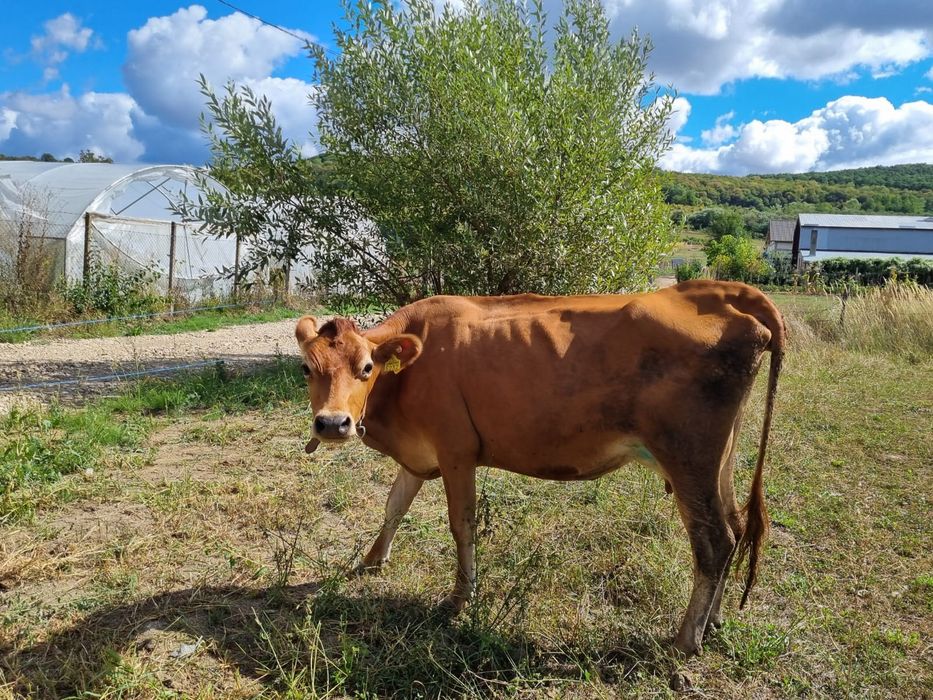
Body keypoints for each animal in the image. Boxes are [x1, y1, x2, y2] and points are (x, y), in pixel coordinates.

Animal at [295, 279, 785, 656]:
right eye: (306, 368)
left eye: (366, 367)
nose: (332, 424)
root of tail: (719, 291)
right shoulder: (419, 454)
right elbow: (394, 506)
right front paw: (371, 560)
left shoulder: (456, 451)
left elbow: (462, 525)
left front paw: (459, 599)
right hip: (719, 458)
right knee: (735, 526)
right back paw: (713, 620)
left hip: (687, 455)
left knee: (714, 541)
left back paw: (685, 640)